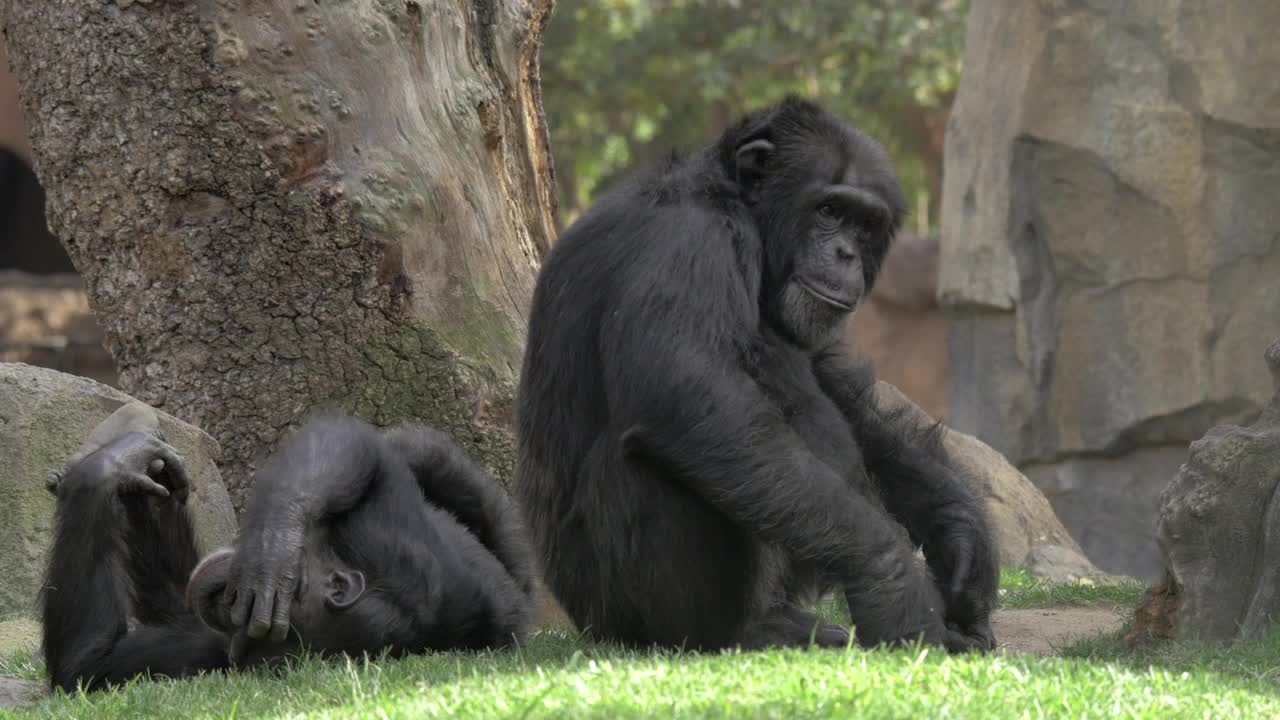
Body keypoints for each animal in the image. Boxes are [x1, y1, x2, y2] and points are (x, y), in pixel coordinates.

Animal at [38, 412, 529, 691]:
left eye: (243, 626)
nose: (220, 601)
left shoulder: (401, 549)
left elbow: (86, 666)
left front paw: (109, 467)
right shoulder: (389, 543)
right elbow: (351, 449)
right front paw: (272, 551)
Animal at [517, 95, 998, 650]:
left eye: (865, 224)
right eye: (829, 210)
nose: (845, 253)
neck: (737, 207)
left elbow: (836, 385)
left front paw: (959, 531)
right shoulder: (684, 240)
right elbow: (684, 388)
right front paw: (894, 583)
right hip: (618, 607)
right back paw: (748, 629)